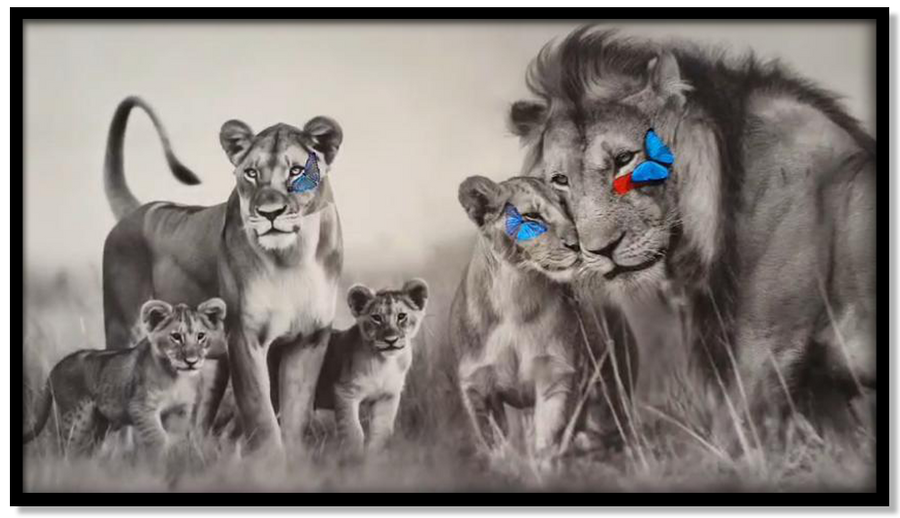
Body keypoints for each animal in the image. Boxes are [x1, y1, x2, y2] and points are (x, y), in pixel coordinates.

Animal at [24, 298, 226, 456]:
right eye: (176, 336)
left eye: (201, 336)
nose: (191, 361)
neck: (177, 377)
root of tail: (54, 367)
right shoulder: (141, 407)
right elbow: (158, 437)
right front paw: (163, 460)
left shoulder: (180, 410)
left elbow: (177, 438)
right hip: (76, 418)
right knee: (67, 449)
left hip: (99, 424)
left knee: (86, 450)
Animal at [101, 97, 344, 454]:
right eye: (251, 173)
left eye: (296, 171)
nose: (270, 213)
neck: (292, 257)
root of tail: (138, 210)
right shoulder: (244, 336)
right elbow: (261, 414)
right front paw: (272, 462)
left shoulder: (309, 338)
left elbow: (296, 415)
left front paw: (295, 460)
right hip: (124, 327)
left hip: (213, 362)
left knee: (198, 421)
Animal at [314, 280, 429, 457]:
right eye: (376, 318)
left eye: (401, 316)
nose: (391, 340)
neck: (384, 363)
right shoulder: (345, 392)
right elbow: (353, 431)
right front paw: (354, 458)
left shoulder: (388, 396)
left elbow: (381, 432)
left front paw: (373, 459)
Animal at [450, 175, 636, 458]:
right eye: (532, 216)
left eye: (566, 208)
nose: (578, 244)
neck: (516, 297)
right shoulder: (477, 387)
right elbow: (496, 446)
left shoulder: (556, 374)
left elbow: (547, 438)